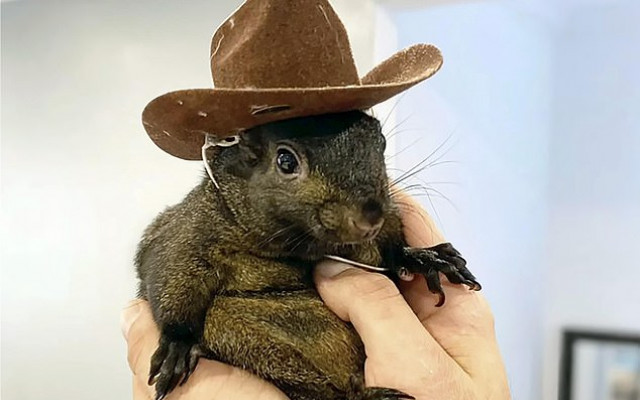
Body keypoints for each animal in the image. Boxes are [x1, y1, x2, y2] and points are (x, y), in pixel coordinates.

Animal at [135, 110, 481, 400]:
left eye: (380, 142)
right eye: (285, 161)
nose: (370, 217)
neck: (301, 245)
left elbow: (392, 250)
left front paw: (424, 258)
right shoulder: (190, 231)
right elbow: (171, 271)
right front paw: (177, 344)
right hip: (234, 330)